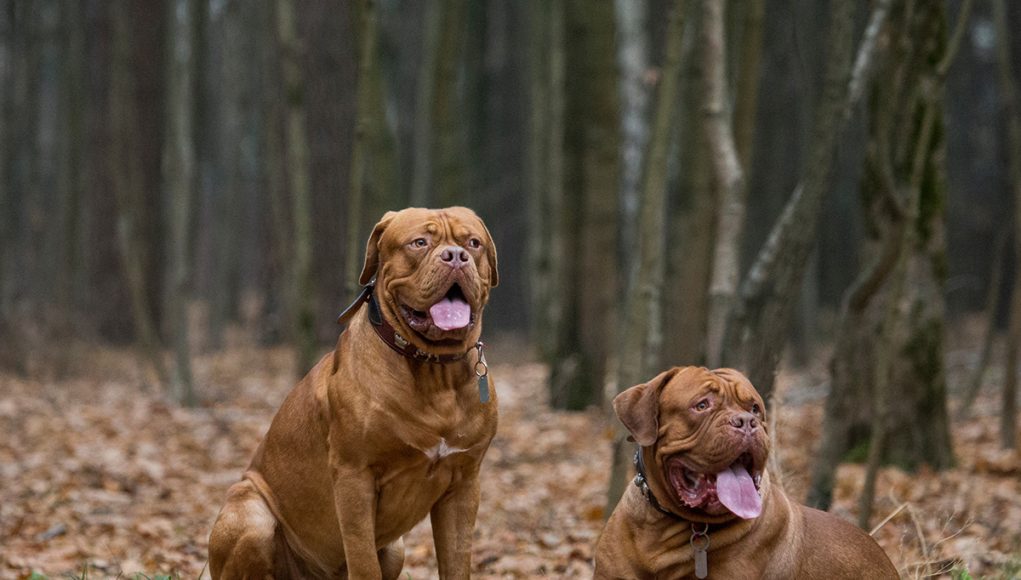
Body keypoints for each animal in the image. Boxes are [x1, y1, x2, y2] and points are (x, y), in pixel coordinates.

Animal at [210, 208, 502, 580]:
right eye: (419, 242)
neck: (434, 371)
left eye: (473, 243)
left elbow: (456, 562)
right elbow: (363, 561)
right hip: (250, 515)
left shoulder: (464, 483)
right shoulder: (354, 477)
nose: (455, 256)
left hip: (396, 548)